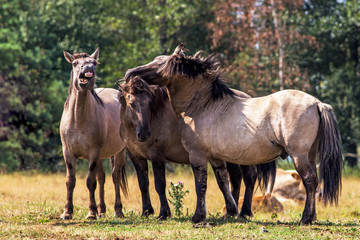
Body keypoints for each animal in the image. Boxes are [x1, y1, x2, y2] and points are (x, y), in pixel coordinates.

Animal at [61, 48, 129, 219]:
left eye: (94, 63)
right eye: (75, 63)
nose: (88, 68)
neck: (78, 119)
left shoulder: (93, 152)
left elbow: (90, 182)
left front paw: (91, 212)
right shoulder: (68, 152)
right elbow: (70, 181)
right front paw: (67, 212)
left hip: (119, 152)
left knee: (115, 176)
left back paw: (118, 210)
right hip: (101, 156)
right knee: (102, 177)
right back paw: (102, 210)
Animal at [116, 75, 274, 219]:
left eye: (149, 103)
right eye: (132, 103)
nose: (143, 133)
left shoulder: (157, 156)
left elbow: (160, 185)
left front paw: (164, 213)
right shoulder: (136, 157)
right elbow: (143, 184)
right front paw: (146, 211)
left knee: (249, 177)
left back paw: (244, 212)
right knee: (236, 178)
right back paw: (230, 212)